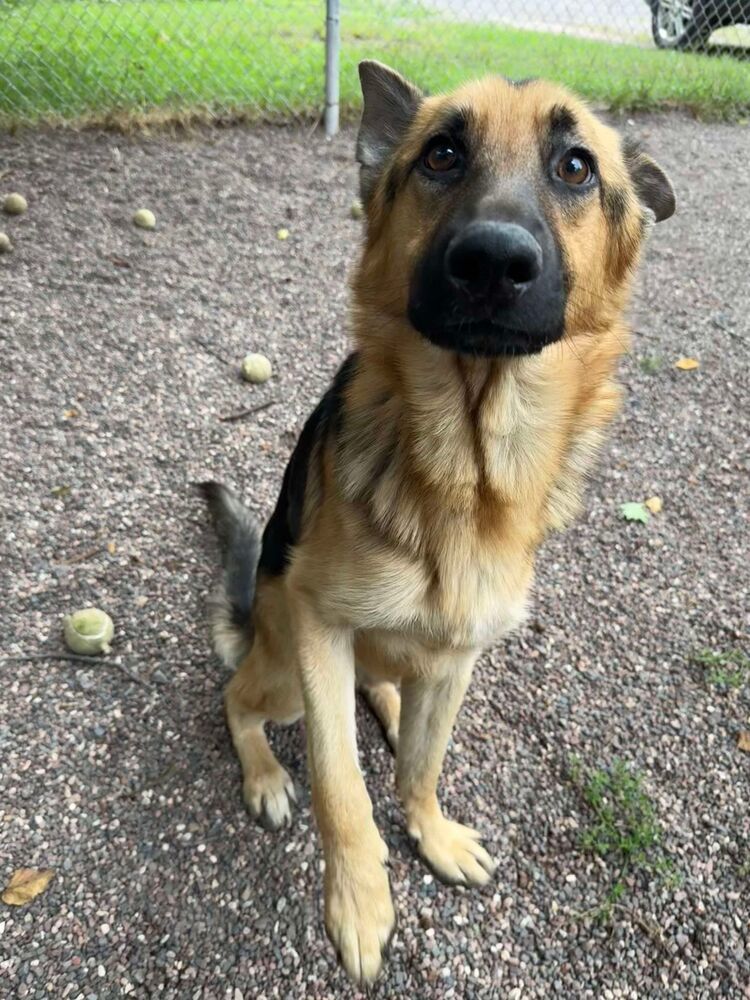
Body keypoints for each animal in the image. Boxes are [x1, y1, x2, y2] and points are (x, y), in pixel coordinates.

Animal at [200, 62, 676, 984]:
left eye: (575, 167)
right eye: (442, 155)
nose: (493, 261)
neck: (467, 469)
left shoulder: (459, 657)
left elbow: (424, 764)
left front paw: (430, 832)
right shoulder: (316, 626)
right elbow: (343, 785)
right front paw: (359, 900)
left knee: (385, 689)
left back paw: (385, 702)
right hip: (282, 667)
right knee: (240, 699)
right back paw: (266, 770)